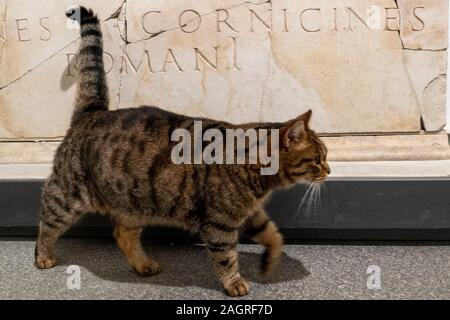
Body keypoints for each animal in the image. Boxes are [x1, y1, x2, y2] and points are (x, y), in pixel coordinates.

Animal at [35, 6, 328, 296]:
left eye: (325, 157)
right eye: (317, 159)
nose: (328, 170)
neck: (259, 177)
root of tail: (92, 113)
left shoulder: (249, 213)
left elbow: (273, 234)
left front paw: (270, 261)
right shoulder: (220, 222)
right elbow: (226, 257)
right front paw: (234, 282)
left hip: (134, 203)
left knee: (123, 234)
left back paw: (143, 264)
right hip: (66, 197)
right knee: (47, 223)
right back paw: (43, 256)